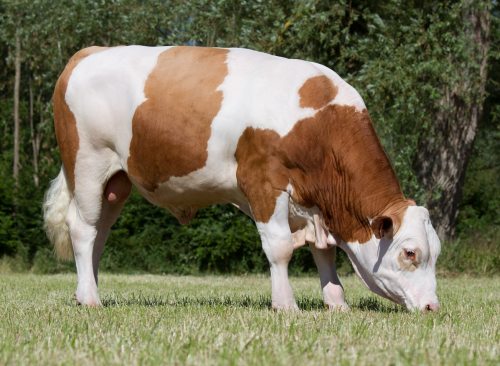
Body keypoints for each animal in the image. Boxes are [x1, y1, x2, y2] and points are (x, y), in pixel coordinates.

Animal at [44, 45, 442, 312]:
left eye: (435, 252)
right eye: (410, 253)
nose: (432, 308)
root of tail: (88, 52)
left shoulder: (314, 204)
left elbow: (323, 252)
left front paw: (337, 303)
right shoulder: (264, 181)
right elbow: (280, 247)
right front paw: (286, 306)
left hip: (116, 182)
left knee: (100, 232)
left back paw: (84, 292)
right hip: (87, 163)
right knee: (83, 229)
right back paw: (91, 300)